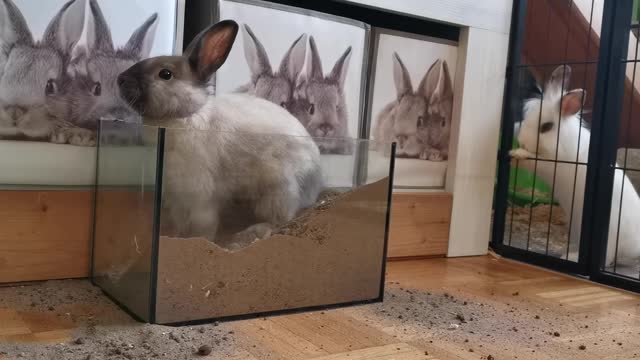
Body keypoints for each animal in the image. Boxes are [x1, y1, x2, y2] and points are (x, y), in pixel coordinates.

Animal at [115, 19, 322, 250]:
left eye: (165, 74)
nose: (120, 79)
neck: (186, 115)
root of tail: (315, 185)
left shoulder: (199, 195)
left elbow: (203, 225)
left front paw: (199, 241)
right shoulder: (176, 198)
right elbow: (179, 223)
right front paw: (176, 237)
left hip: (280, 189)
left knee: (280, 219)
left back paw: (247, 235)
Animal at [510, 64, 640, 268]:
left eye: (546, 127)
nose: (522, 141)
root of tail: (635, 250)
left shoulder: (551, 164)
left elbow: (534, 160)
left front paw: (517, 154)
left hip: (607, 236)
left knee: (607, 259)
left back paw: (570, 257)